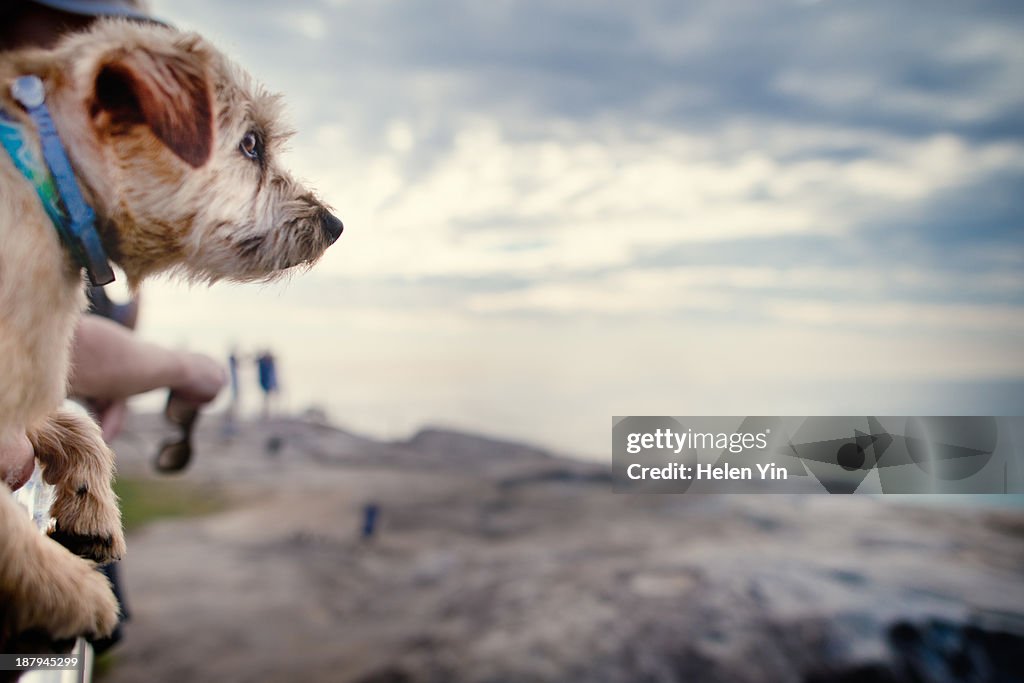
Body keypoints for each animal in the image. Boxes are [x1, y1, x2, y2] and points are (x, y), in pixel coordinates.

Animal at [0, 18, 344, 655]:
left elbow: (76, 418)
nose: (334, 224)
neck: (51, 178)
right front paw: (73, 592)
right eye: (251, 144)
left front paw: (90, 513)